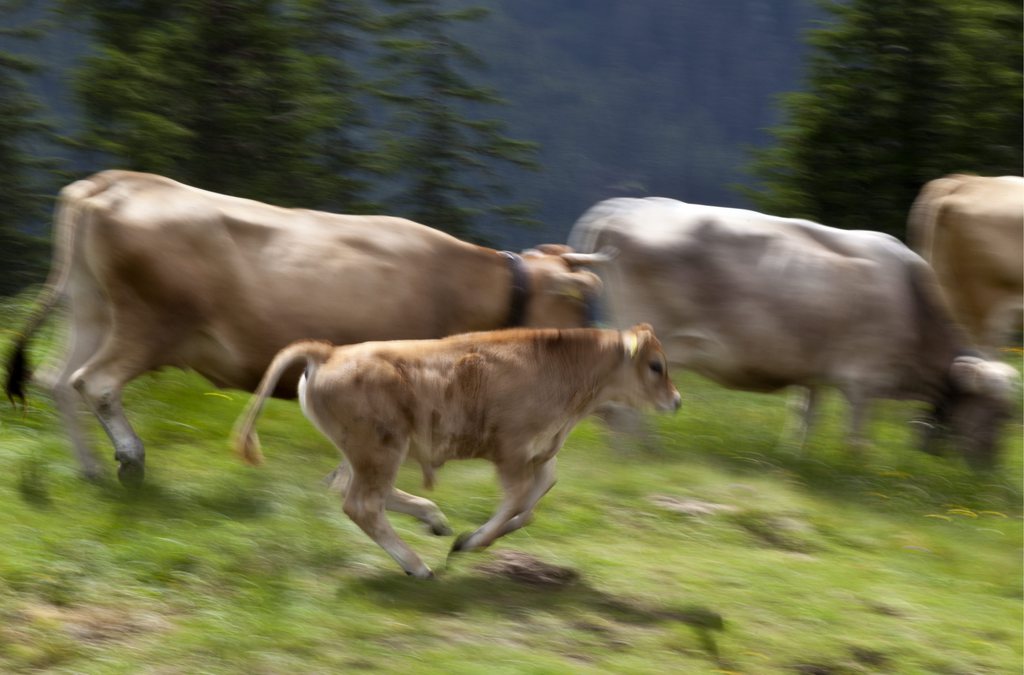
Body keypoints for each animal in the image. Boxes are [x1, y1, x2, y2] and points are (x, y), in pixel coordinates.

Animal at [6, 172, 598, 483]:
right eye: (581, 311)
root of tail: (117, 182)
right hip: (152, 322)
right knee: (95, 381)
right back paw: (129, 458)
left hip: (91, 309)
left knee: (58, 380)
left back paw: (89, 469)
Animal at [232, 325, 679, 577]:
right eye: (656, 365)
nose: (676, 401)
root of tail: (329, 351)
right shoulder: (512, 451)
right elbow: (518, 498)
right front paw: (472, 541)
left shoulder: (541, 452)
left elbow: (534, 499)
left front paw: (476, 535)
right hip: (380, 450)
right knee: (362, 503)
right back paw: (417, 565)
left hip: (365, 453)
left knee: (352, 489)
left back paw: (434, 520)